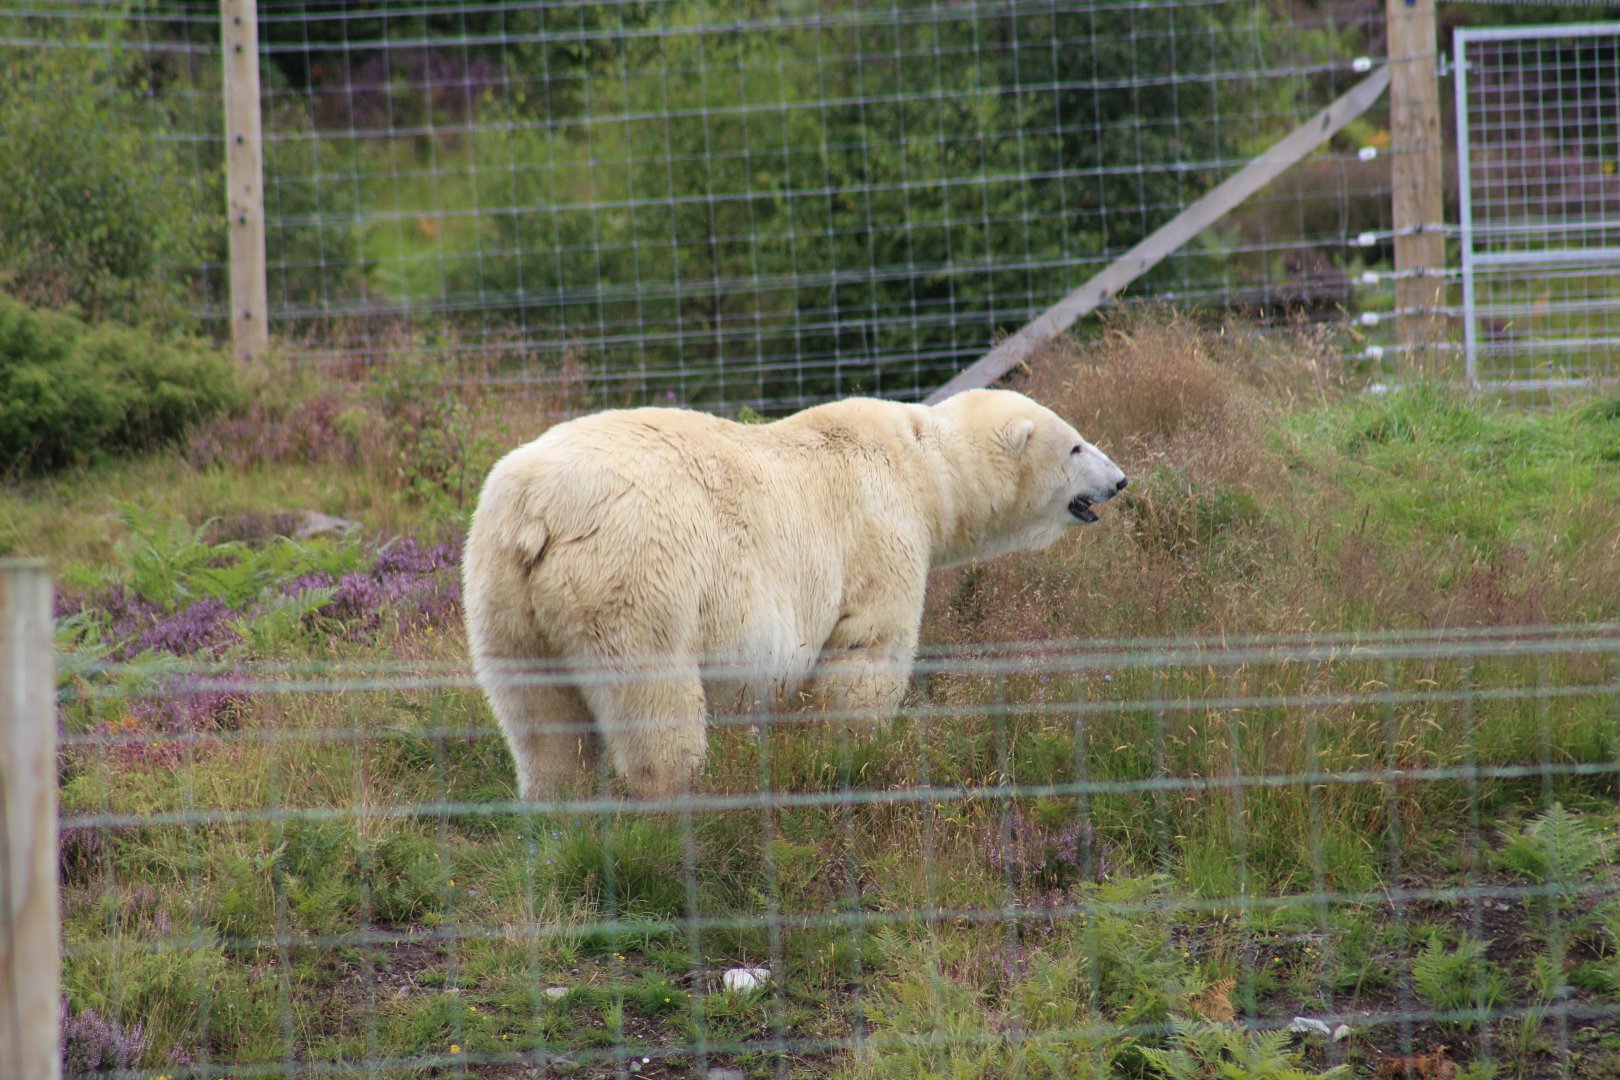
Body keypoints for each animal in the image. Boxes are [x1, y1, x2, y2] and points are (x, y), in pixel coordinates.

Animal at [462, 388, 1127, 801]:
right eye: (1075, 445)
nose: (1120, 480)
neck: (923, 465)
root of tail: (538, 511)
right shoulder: (879, 530)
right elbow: (866, 651)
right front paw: (858, 755)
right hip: (635, 577)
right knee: (653, 699)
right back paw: (679, 799)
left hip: (501, 593)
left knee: (539, 719)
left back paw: (560, 810)